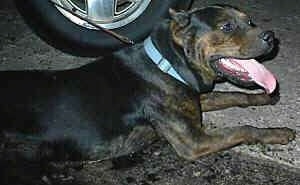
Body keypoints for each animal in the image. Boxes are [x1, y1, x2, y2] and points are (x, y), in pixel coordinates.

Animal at [0, 3, 296, 160]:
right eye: (226, 27)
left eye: (250, 21)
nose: (271, 37)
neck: (167, 63)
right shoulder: (194, 141)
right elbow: (244, 129)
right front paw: (277, 133)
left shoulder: (193, 98)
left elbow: (232, 96)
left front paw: (263, 97)